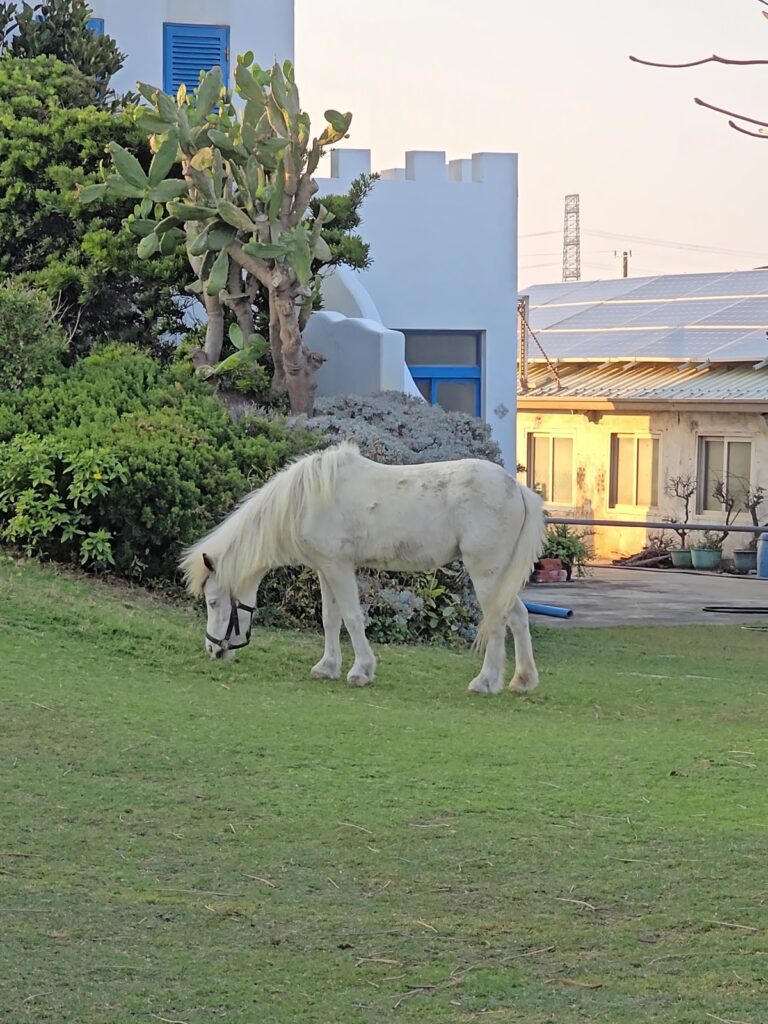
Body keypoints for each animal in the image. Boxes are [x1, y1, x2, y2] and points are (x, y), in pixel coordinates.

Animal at [180, 441, 546, 695]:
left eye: (213, 602)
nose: (213, 650)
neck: (305, 501)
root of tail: (518, 489)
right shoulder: (325, 568)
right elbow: (330, 619)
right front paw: (327, 667)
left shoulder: (339, 568)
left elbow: (353, 618)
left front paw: (361, 671)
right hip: (500, 577)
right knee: (517, 616)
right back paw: (522, 680)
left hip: (486, 574)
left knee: (497, 622)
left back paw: (485, 681)